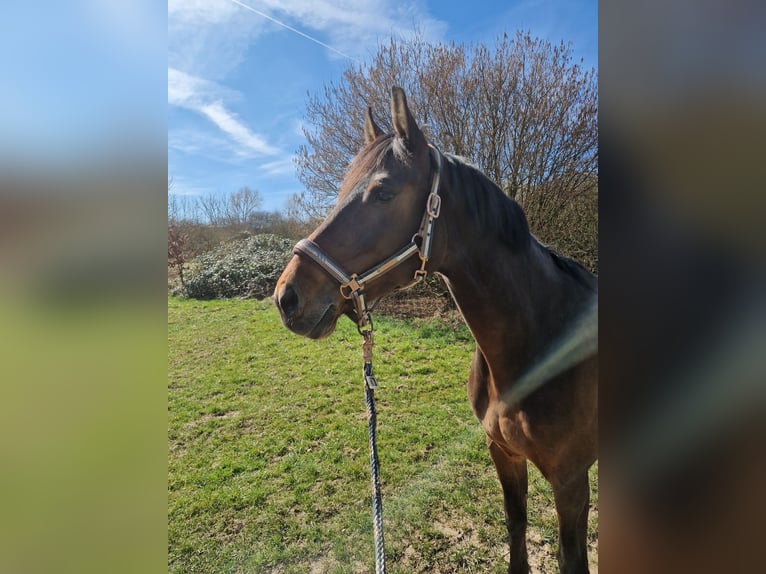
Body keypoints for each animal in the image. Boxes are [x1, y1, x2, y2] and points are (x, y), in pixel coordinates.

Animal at [274, 86, 598, 574]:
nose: (286, 296)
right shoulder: (503, 454)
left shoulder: (571, 481)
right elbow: (516, 527)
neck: (540, 346)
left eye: (383, 191)